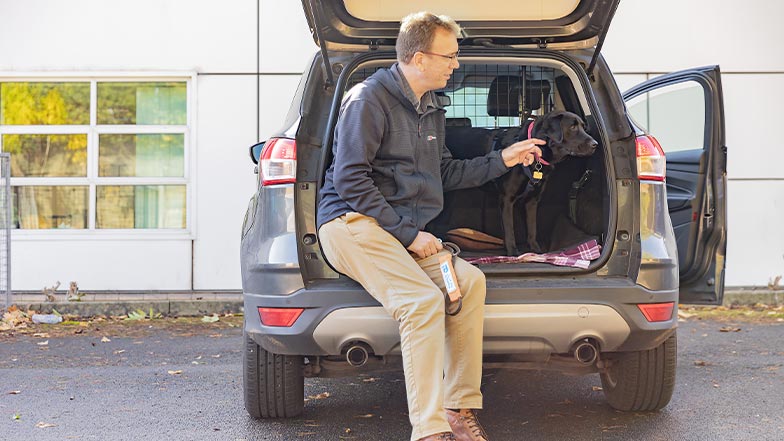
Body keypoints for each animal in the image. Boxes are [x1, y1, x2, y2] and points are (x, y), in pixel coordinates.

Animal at [496, 110, 600, 254]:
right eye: (572, 127)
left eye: (584, 127)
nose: (595, 144)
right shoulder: (506, 199)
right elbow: (509, 229)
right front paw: (513, 253)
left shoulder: (532, 201)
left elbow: (532, 227)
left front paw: (536, 250)